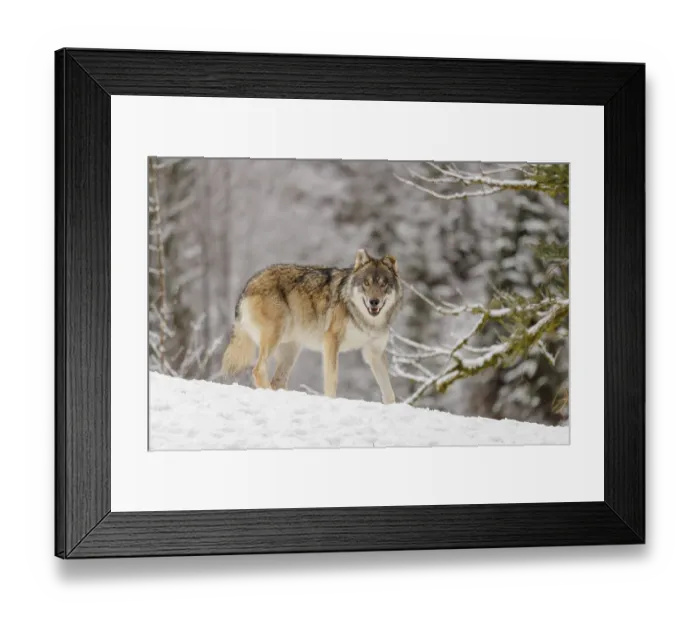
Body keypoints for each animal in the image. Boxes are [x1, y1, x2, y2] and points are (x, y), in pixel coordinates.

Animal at [221, 249, 403, 404]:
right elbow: (332, 379)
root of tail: (248, 285)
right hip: (274, 338)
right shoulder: (331, 340)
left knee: (277, 380)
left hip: (291, 351)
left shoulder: (374, 353)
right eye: (366, 283)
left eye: (383, 284)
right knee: (258, 370)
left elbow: (389, 391)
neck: (367, 321)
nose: (374, 302)